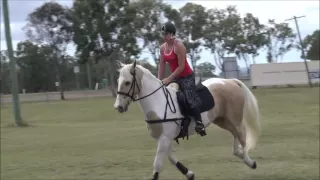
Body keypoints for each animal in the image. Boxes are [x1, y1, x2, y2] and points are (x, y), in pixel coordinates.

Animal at [114, 60, 262, 180]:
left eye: (127, 82)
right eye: (118, 82)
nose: (118, 107)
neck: (158, 104)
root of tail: (230, 81)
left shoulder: (164, 139)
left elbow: (157, 164)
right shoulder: (164, 139)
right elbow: (171, 158)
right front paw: (189, 174)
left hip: (233, 118)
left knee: (241, 135)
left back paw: (249, 161)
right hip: (222, 120)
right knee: (236, 135)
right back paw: (240, 154)